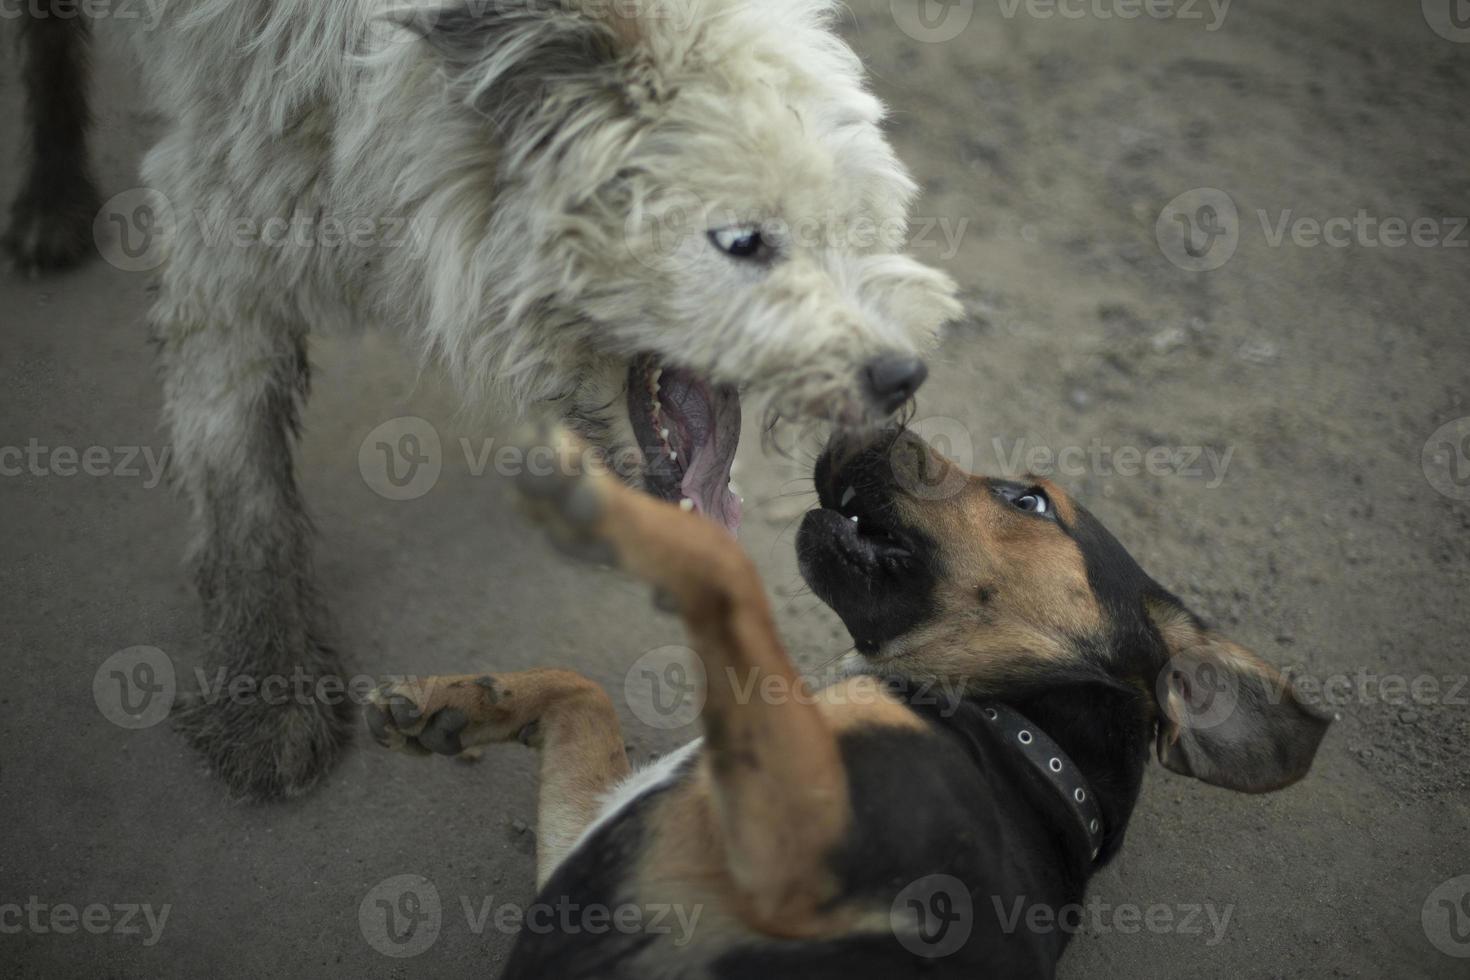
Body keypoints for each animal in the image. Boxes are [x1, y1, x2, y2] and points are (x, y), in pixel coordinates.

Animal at [5, 0, 964, 799]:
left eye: (860, 223)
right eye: (739, 239)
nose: (902, 376)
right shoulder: (222, 207)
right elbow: (241, 482)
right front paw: (266, 696)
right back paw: (52, 195)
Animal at [367, 426, 1334, 975]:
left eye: (1029, 500)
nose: (869, 413)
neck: (1017, 726)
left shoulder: (789, 848)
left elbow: (724, 568)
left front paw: (597, 491)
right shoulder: (605, 836)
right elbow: (586, 694)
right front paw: (457, 701)